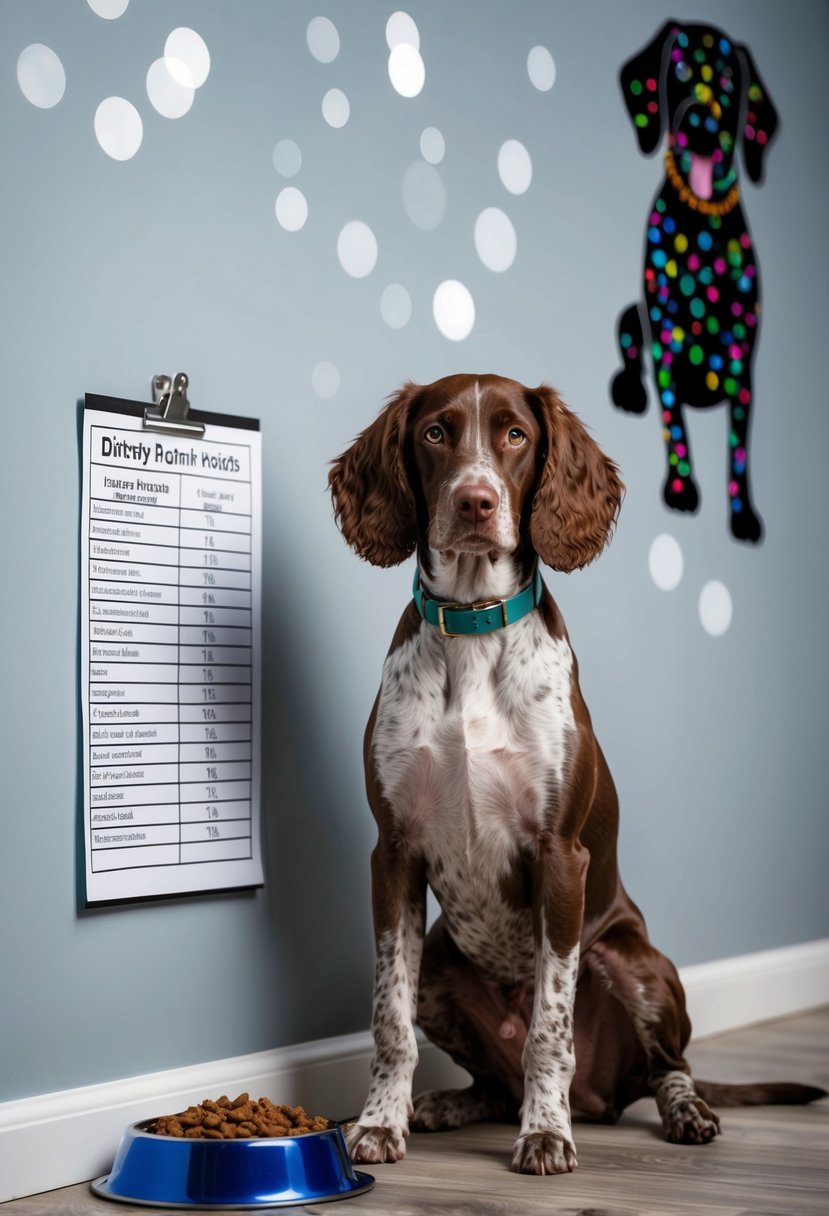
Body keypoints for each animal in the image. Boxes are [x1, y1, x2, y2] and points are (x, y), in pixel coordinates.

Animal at [328, 374, 821, 1172]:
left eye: (515, 436)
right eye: (435, 433)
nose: (475, 502)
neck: (473, 628)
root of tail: (603, 1097)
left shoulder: (560, 855)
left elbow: (548, 1029)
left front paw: (545, 1134)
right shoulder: (393, 854)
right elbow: (389, 1021)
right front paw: (379, 1123)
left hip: (634, 963)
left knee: (669, 1067)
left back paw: (679, 1112)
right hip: (440, 962)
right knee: (492, 1082)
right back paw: (447, 1104)